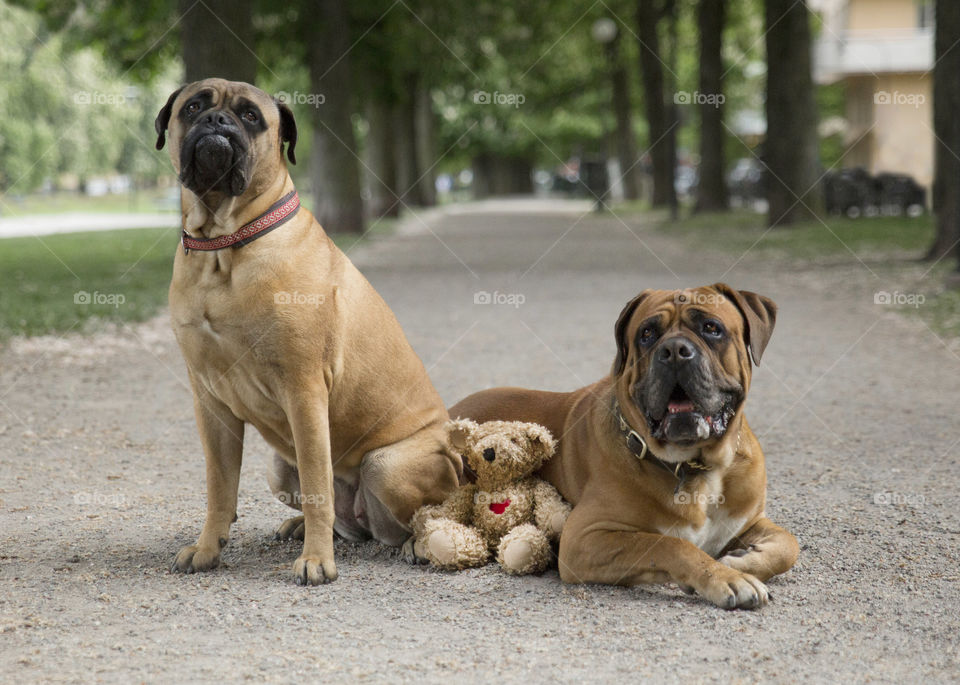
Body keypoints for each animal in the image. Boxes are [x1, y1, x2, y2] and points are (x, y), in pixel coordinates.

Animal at [155, 79, 462, 584]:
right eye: (194, 106)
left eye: (251, 116)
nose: (217, 121)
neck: (224, 245)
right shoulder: (210, 400)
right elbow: (219, 487)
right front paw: (206, 547)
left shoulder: (304, 390)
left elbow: (319, 484)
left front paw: (317, 560)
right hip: (279, 468)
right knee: (344, 519)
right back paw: (300, 526)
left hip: (388, 464)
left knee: (432, 513)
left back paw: (416, 544)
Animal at [450, 284, 796, 608]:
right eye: (647, 334)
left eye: (711, 328)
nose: (674, 350)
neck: (695, 466)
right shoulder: (584, 539)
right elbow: (667, 544)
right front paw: (726, 577)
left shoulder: (749, 520)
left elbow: (789, 544)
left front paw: (741, 561)